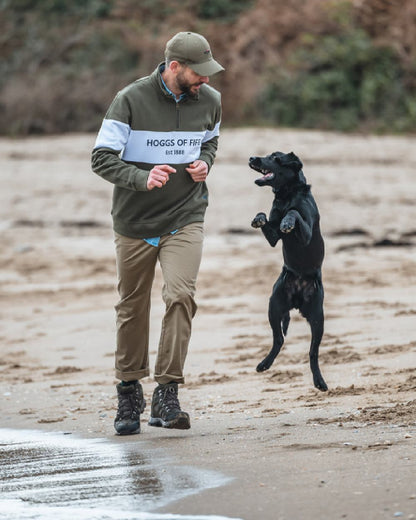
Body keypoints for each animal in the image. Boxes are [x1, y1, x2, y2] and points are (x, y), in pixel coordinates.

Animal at [249, 150, 326, 390]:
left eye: (275, 157)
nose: (252, 158)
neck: (286, 195)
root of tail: (297, 300)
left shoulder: (306, 232)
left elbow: (293, 213)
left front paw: (287, 222)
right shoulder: (274, 237)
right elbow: (266, 217)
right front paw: (258, 218)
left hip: (317, 318)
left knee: (313, 352)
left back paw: (320, 381)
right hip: (274, 305)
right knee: (279, 339)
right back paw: (264, 364)